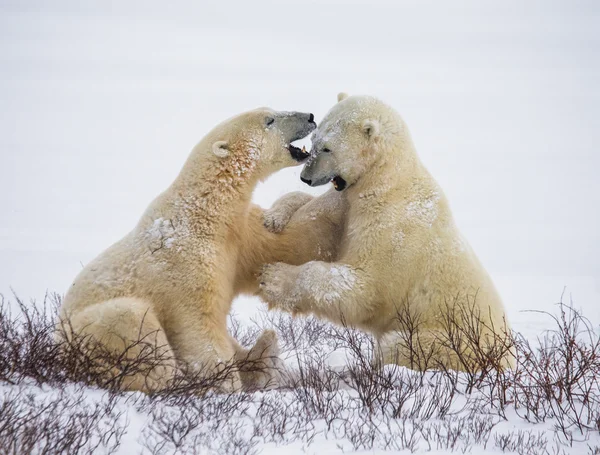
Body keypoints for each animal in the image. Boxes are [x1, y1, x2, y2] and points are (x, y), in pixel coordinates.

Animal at [57, 108, 346, 394]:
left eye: (272, 110)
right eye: (270, 120)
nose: (310, 116)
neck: (204, 210)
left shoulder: (240, 238)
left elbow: (295, 243)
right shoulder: (185, 263)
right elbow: (199, 326)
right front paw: (224, 385)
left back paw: (265, 354)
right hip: (88, 331)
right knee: (130, 320)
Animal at [258, 94, 516, 372]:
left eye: (327, 148)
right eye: (314, 140)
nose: (306, 177)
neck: (387, 181)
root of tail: (509, 359)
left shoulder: (391, 227)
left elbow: (363, 284)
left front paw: (272, 276)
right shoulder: (347, 204)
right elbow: (315, 213)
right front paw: (274, 217)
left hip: (453, 344)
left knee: (397, 345)